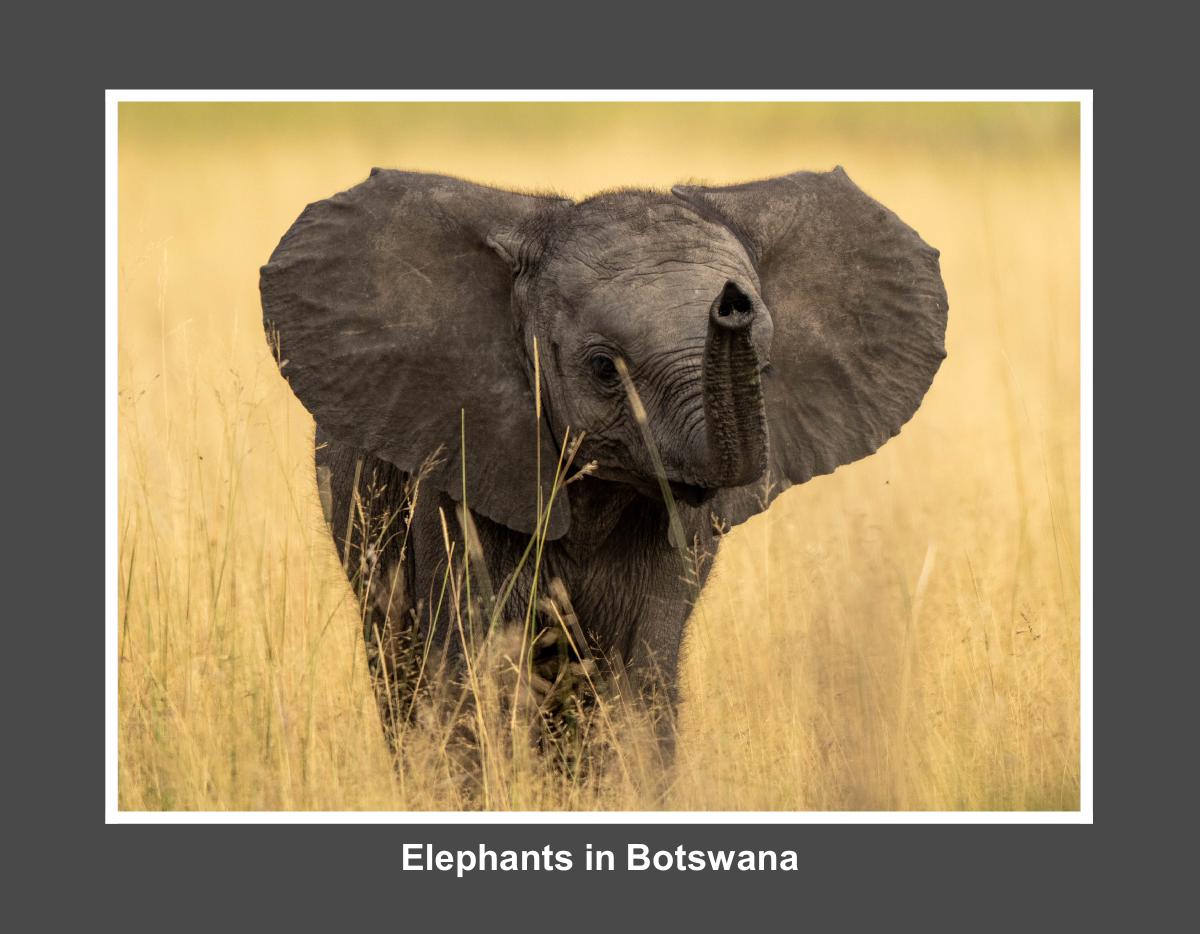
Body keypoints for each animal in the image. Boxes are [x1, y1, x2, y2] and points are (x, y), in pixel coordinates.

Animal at [259, 166, 947, 766]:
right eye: (601, 368)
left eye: (766, 362)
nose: (732, 303)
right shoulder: (463, 466)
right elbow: (476, 676)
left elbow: (638, 690)